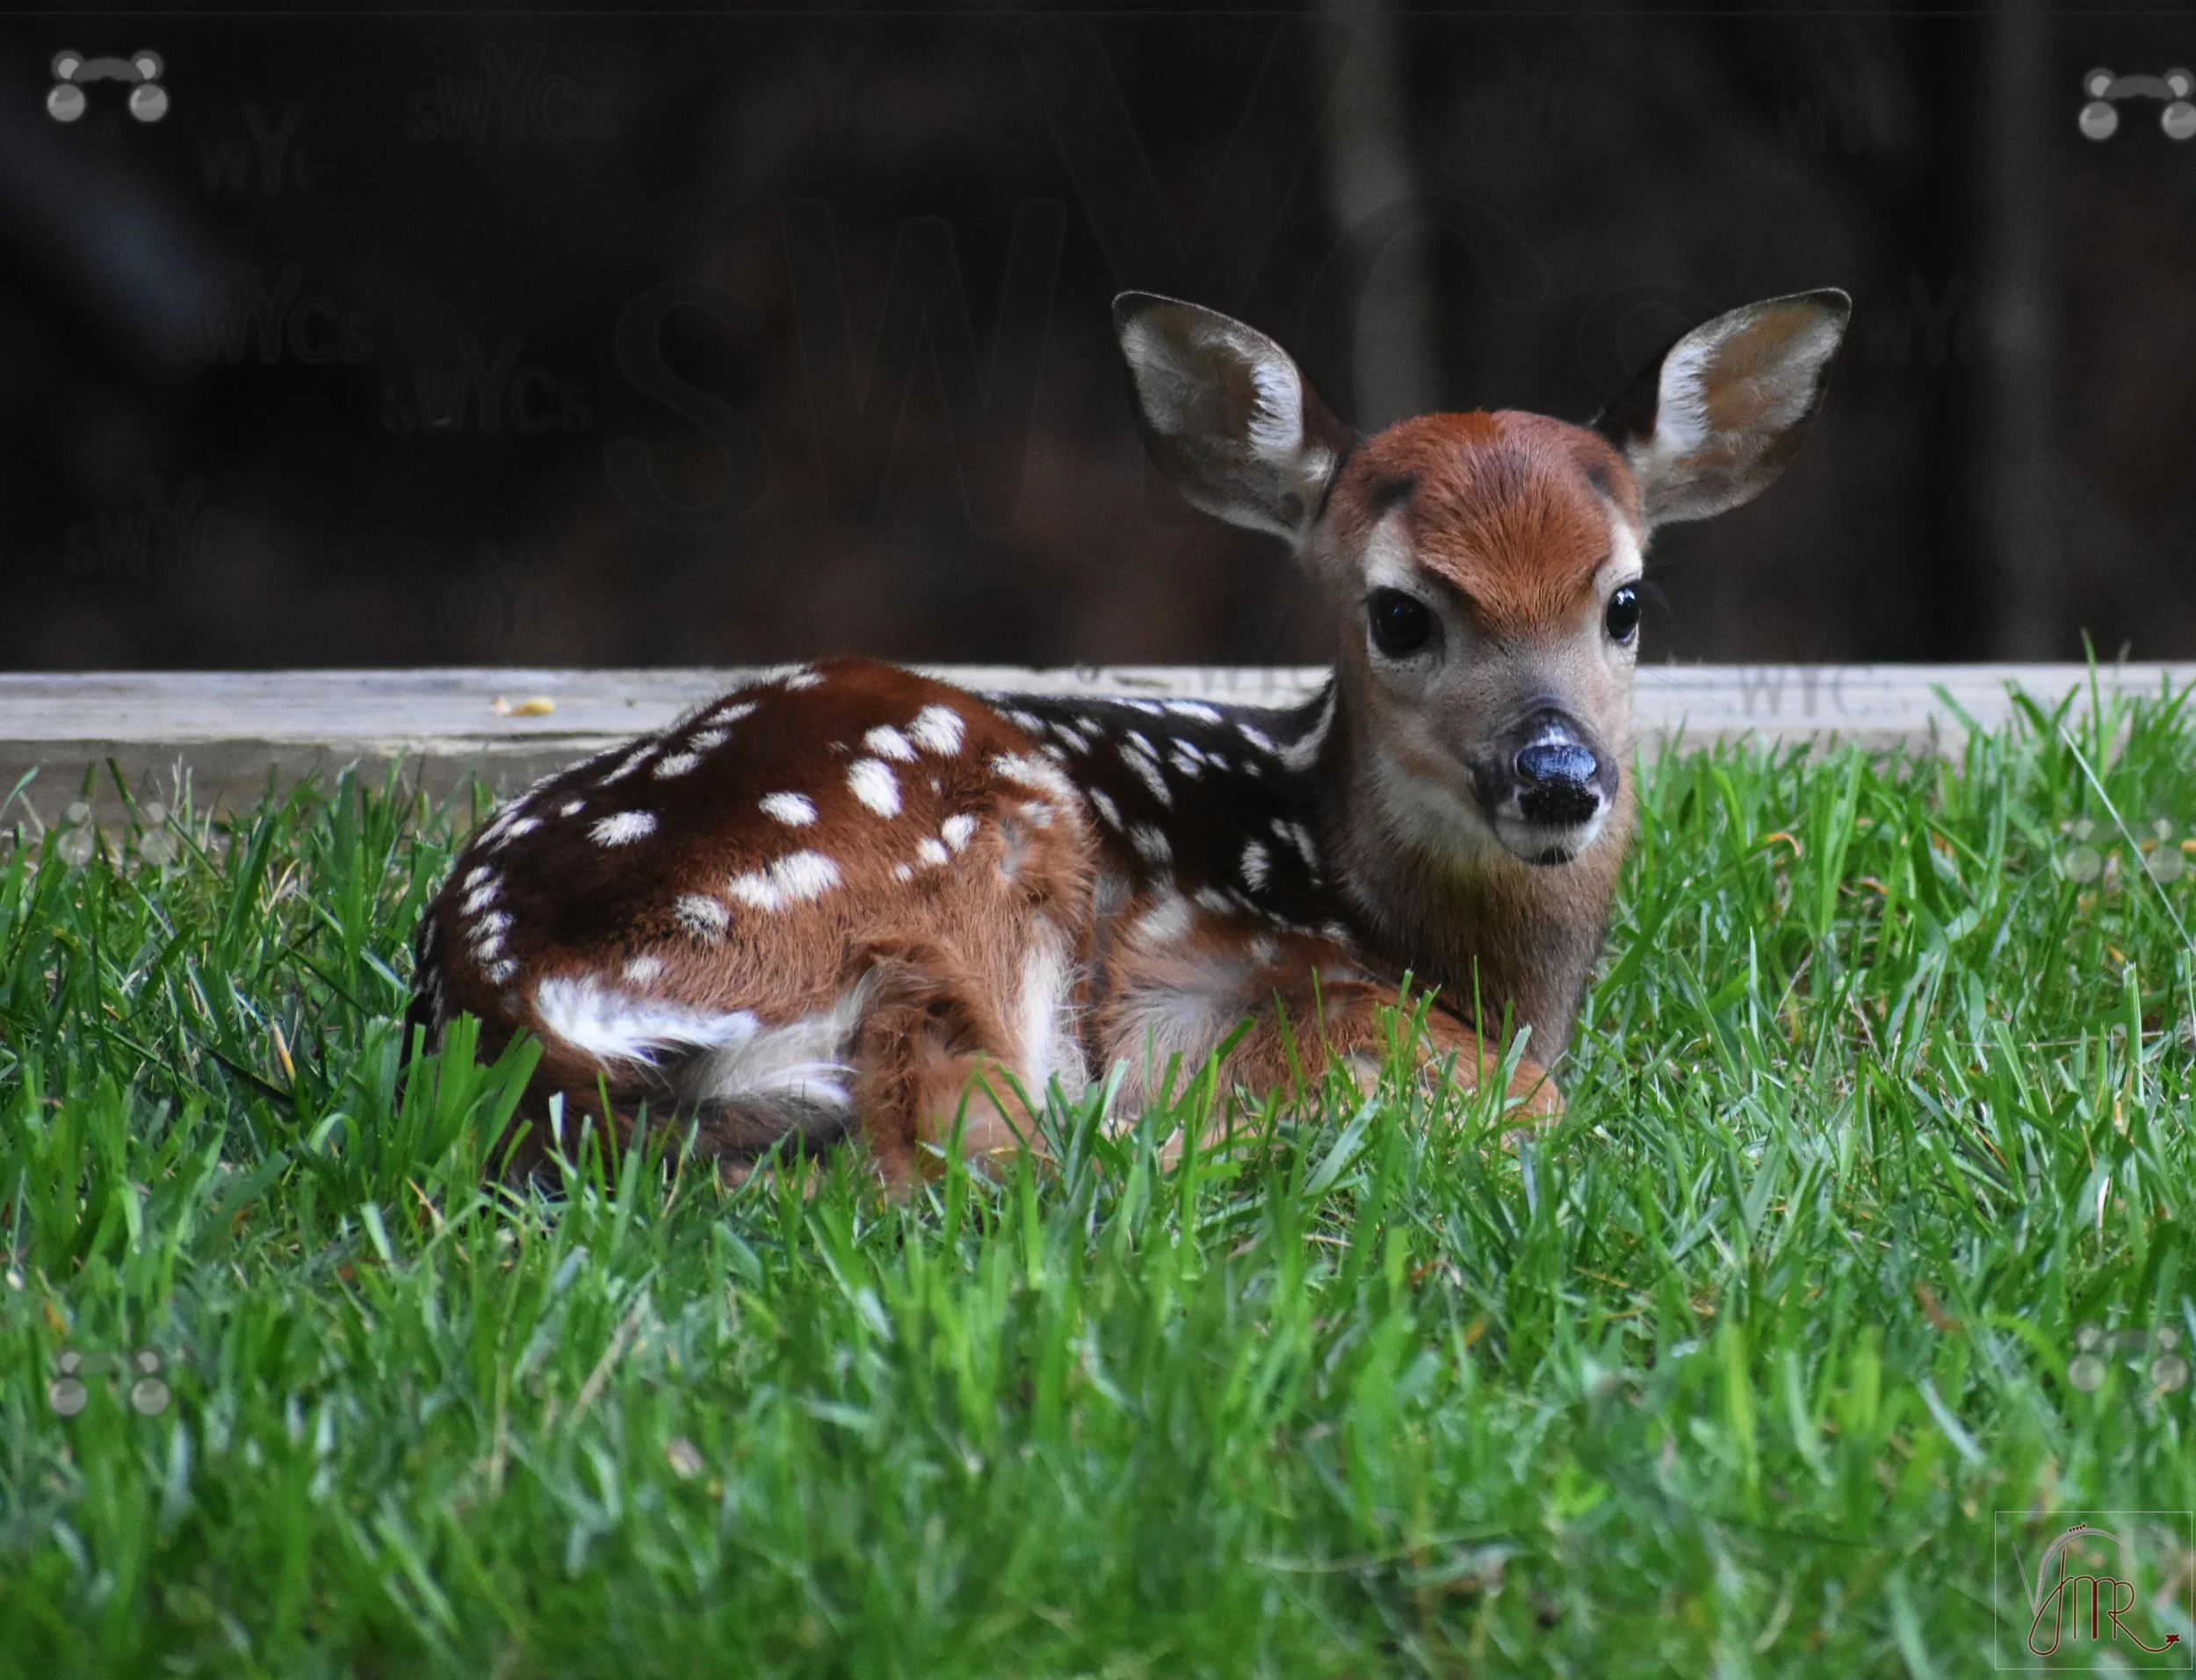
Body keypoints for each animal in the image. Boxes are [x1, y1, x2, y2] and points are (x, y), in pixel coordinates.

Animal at [404, 287, 1850, 1184]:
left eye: (1626, 601)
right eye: (1399, 612)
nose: (1557, 775)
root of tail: (521, 1005)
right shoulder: (1231, 985)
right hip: (966, 841)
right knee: (976, 1145)